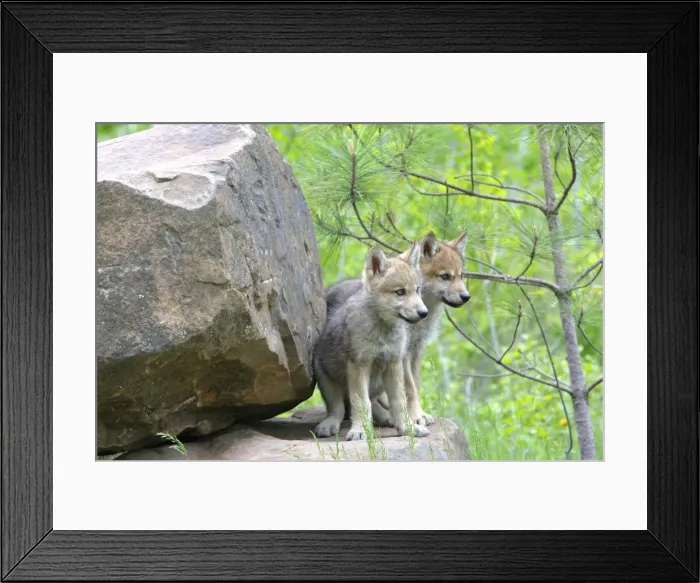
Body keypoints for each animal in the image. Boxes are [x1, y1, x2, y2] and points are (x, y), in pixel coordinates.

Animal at [312, 243, 430, 441]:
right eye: (400, 292)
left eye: (417, 290)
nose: (424, 313)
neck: (383, 331)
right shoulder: (359, 365)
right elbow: (361, 402)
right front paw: (359, 430)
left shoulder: (394, 363)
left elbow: (398, 401)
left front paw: (407, 427)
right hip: (326, 379)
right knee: (338, 409)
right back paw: (329, 425)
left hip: (379, 381)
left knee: (374, 402)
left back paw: (387, 419)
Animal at [324, 231, 470, 427]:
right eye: (445, 276)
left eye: (461, 276)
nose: (466, 296)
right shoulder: (403, 354)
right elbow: (409, 388)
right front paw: (416, 416)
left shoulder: (416, 350)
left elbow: (415, 384)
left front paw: (418, 414)